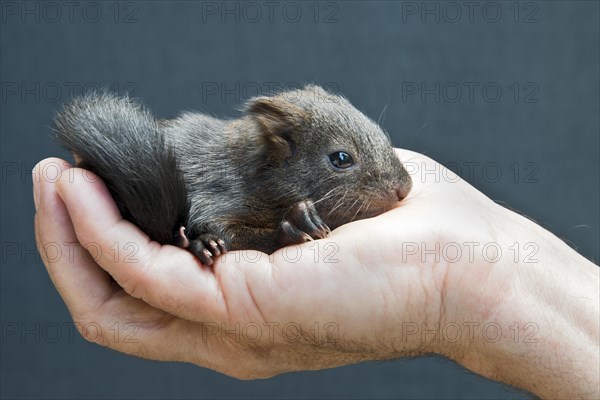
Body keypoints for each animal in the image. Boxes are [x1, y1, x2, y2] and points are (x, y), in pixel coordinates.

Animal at [54, 85, 412, 266]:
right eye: (340, 158)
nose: (404, 188)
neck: (257, 173)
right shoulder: (216, 195)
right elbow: (223, 226)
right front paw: (296, 224)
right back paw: (199, 244)